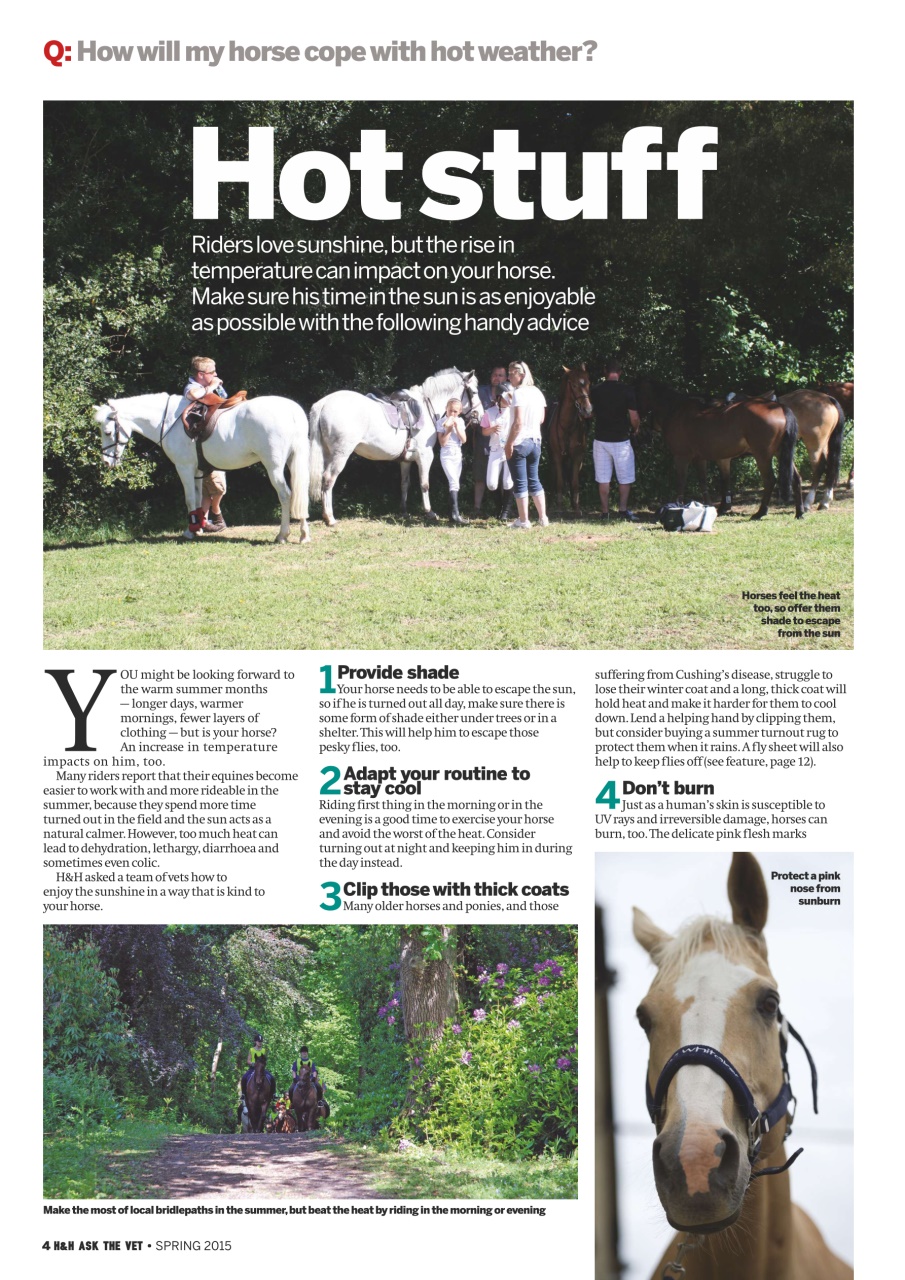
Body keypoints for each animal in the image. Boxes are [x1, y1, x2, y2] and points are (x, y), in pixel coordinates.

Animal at [95, 393, 311, 543]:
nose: (106, 461)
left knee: (285, 495)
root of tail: (292, 410)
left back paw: (282, 535)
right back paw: (304, 534)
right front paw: (198, 526)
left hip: (273, 467)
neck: (168, 421)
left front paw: (190, 531)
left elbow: (190, 499)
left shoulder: (184, 468)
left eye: (107, 432)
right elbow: (199, 500)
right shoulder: (198, 472)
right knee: (300, 494)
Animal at [308, 368, 482, 526]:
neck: (425, 409)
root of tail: (323, 403)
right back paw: (330, 518)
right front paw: (429, 512)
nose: (479, 415)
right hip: (340, 454)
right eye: (473, 392)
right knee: (328, 479)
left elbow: (404, 484)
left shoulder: (405, 460)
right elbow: (424, 484)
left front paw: (403, 511)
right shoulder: (425, 456)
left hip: (327, 454)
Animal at [547, 364, 594, 515]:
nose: (587, 410)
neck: (567, 426)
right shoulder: (557, 456)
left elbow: (574, 482)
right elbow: (560, 481)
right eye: (573, 385)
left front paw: (577, 507)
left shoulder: (578, 457)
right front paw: (559, 507)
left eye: (588, 383)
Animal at [636, 379, 803, 518]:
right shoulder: (701, 458)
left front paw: (678, 505)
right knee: (795, 478)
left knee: (769, 480)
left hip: (762, 455)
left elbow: (681, 481)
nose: (643, 433)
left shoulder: (681, 457)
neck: (677, 410)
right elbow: (705, 481)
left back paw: (761, 512)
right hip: (781, 453)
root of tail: (779, 407)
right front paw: (709, 506)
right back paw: (799, 512)